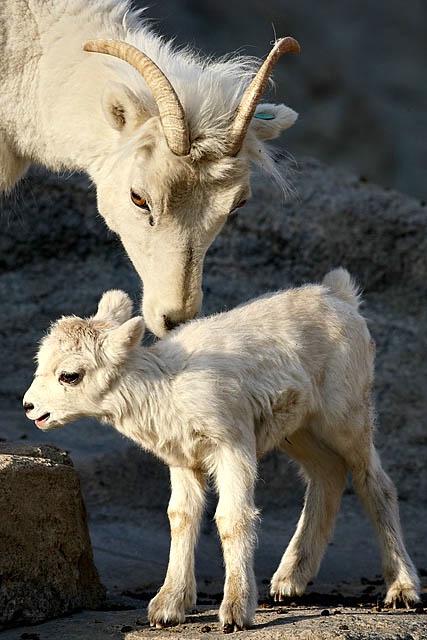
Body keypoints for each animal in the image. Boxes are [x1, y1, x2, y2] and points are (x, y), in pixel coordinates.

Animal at [21, 268, 420, 632]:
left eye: (70, 375)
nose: (30, 408)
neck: (166, 390)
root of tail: (341, 296)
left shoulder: (233, 446)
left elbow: (231, 518)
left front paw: (235, 614)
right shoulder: (184, 461)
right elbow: (181, 518)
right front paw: (167, 609)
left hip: (346, 415)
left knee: (375, 482)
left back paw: (402, 590)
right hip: (299, 429)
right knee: (328, 474)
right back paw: (288, 583)